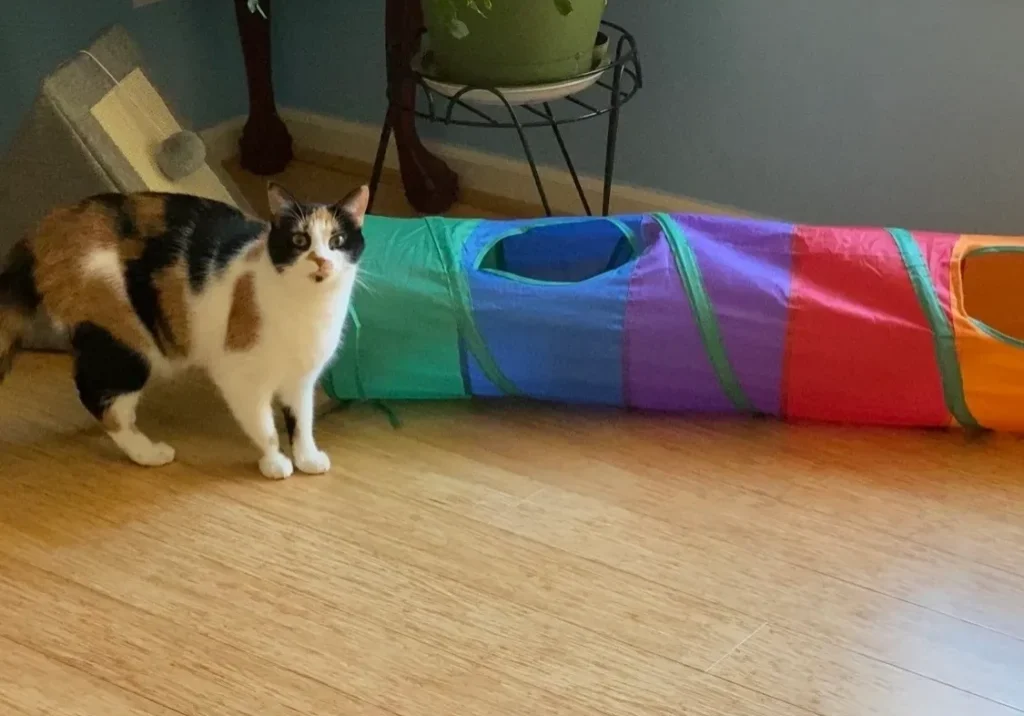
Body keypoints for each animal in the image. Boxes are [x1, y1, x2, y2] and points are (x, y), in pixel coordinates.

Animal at [0, 182, 368, 479]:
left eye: (337, 240)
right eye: (299, 240)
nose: (321, 261)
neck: (307, 309)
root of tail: (50, 223)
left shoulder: (301, 380)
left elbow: (302, 421)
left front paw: (307, 458)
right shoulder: (238, 376)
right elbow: (264, 427)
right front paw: (275, 463)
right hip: (126, 342)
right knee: (99, 396)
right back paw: (147, 452)